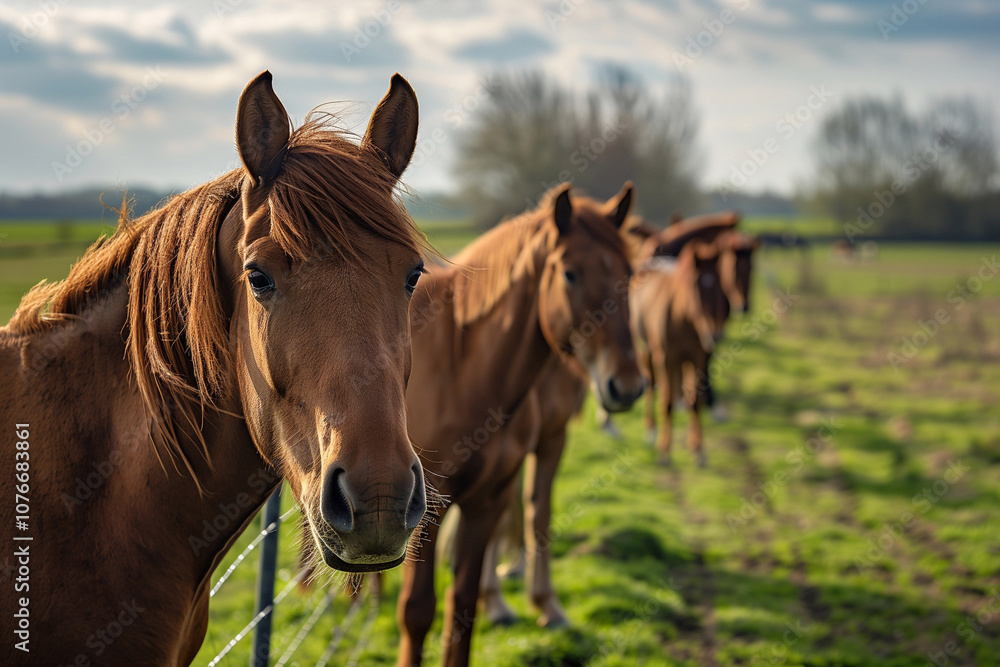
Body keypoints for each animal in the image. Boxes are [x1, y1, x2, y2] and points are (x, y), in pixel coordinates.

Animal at [398, 183, 645, 667]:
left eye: (629, 274)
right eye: (570, 273)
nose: (625, 385)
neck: (462, 371)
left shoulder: (487, 503)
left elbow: (463, 607)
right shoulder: (428, 511)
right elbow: (417, 612)